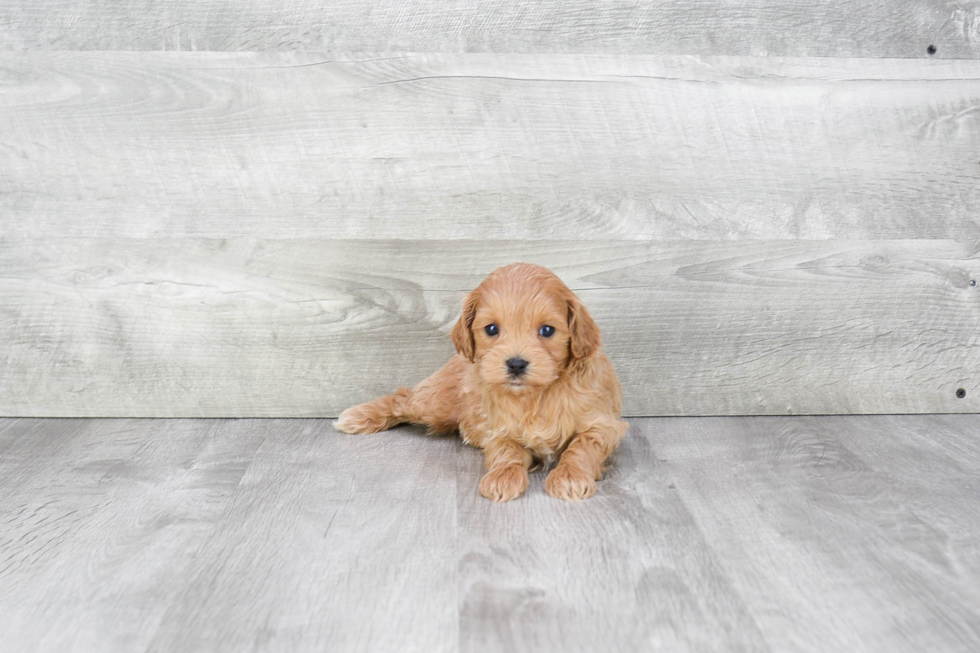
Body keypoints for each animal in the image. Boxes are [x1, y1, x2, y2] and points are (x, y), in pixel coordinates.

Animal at [334, 262, 628, 502]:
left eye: (547, 330)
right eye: (491, 329)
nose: (516, 364)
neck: (534, 397)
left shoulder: (604, 424)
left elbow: (581, 447)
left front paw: (570, 476)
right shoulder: (496, 428)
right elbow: (507, 451)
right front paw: (503, 477)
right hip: (434, 402)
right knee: (402, 397)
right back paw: (357, 416)